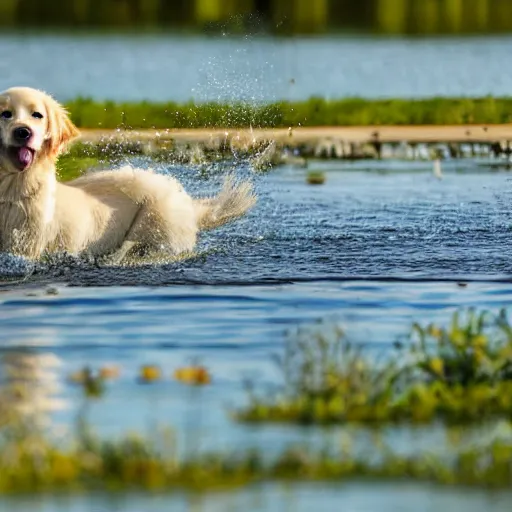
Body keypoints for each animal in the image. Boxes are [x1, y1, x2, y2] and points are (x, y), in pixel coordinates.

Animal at [0, 87, 256, 262]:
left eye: (37, 115)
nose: (23, 132)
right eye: (6, 114)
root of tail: (186, 200)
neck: (12, 190)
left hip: (156, 222)